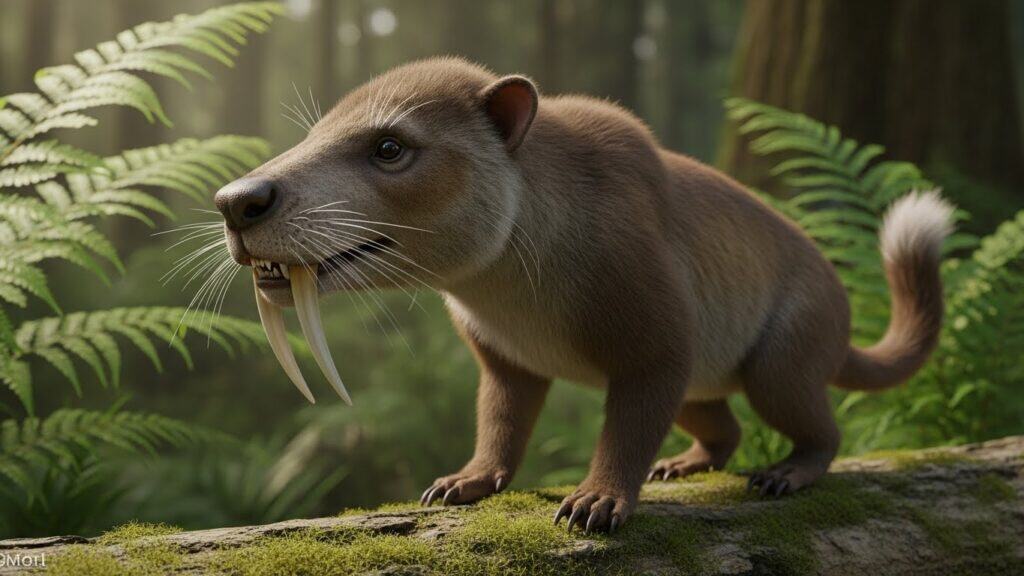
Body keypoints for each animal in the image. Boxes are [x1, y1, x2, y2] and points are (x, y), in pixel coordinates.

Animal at [214, 57, 953, 533]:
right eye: (311, 135)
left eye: (390, 147)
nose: (235, 201)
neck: (499, 282)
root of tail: (841, 305)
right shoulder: (507, 364)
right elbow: (500, 427)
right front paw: (462, 483)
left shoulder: (656, 351)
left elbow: (624, 432)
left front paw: (595, 504)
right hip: (702, 386)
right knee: (725, 429)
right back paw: (682, 467)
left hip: (778, 368)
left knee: (820, 432)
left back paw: (784, 476)